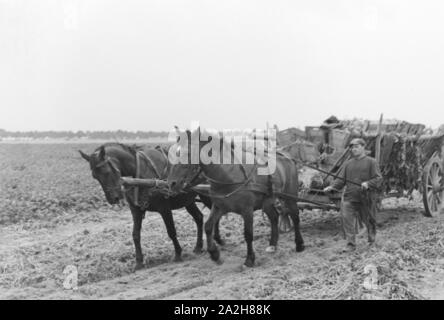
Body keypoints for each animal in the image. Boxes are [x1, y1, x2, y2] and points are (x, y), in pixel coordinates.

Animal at [79, 142, 225, 270]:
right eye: (95, 176)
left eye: (106, 171)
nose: (113, 198)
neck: (139, 173)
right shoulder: (135, 210)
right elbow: (135, 235)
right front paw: (139, 262)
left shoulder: (164, 208)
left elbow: (171, 231)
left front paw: (178, 253)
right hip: (188, 200)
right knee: (199, 218)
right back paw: (199, 246)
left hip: (207, 195)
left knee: (215, 213)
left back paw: (217, 239)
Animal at [166, 129, 306, 266]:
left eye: (187, 153)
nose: (171, 183)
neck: (229, 175)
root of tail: (287, 157)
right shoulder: (219, 207)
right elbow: (208, 226)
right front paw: (214, 253)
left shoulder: (247, 210)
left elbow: (248, 234)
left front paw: (250, 258)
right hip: (266, 202)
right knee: (274, 217)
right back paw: (272, 245)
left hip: (290, 197)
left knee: (295, 216)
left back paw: (299, 244)